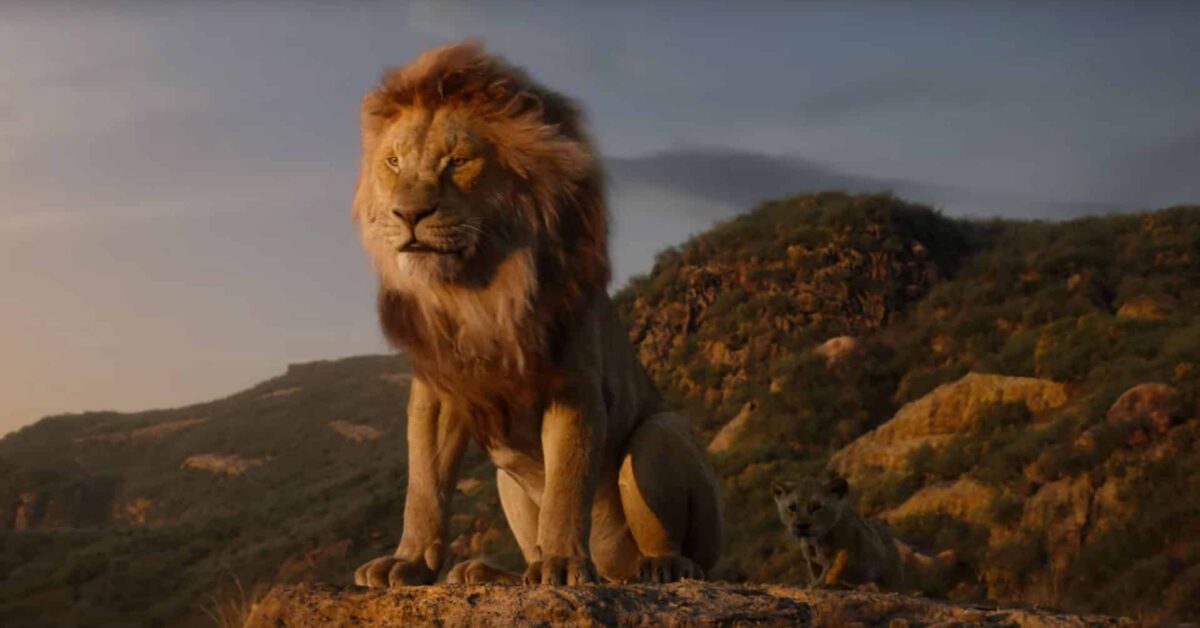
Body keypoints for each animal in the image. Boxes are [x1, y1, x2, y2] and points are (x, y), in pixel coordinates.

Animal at [349, 42, 723, 587]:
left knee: (684, 547)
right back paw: (488, 573)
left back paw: (663, 565)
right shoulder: (437, 392)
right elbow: (424, 485)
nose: (408, 215)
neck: (476, 291)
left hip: (663, 435)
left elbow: (567, 483)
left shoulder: (574, 387)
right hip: (507, 480)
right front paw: (409, 561)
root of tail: (614, 571)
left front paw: (562, 564)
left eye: (458, 160)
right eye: (394, 162)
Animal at [771, 475, 905, 590]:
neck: (816, 541)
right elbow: (818, 573)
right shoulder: (813, 563)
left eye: (816, 506)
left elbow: (831, 571)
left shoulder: (844, 554)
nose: (801, 525)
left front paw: (818, 585)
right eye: (792, 507)